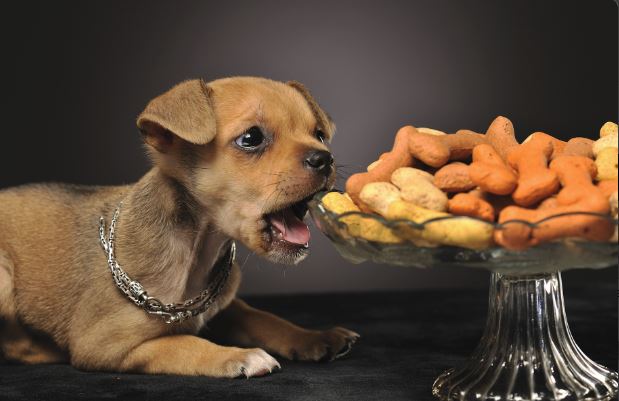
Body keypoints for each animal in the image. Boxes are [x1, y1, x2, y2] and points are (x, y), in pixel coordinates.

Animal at [0, 76, 358, 376]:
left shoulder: (225, 305)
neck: (196, 252)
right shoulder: (104, 345)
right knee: (16, 346)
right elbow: (182, 344)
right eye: (252, 138)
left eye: (320, 134)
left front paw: (314, 337)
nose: (324, 158)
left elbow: (261, 317)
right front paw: (238, 355)